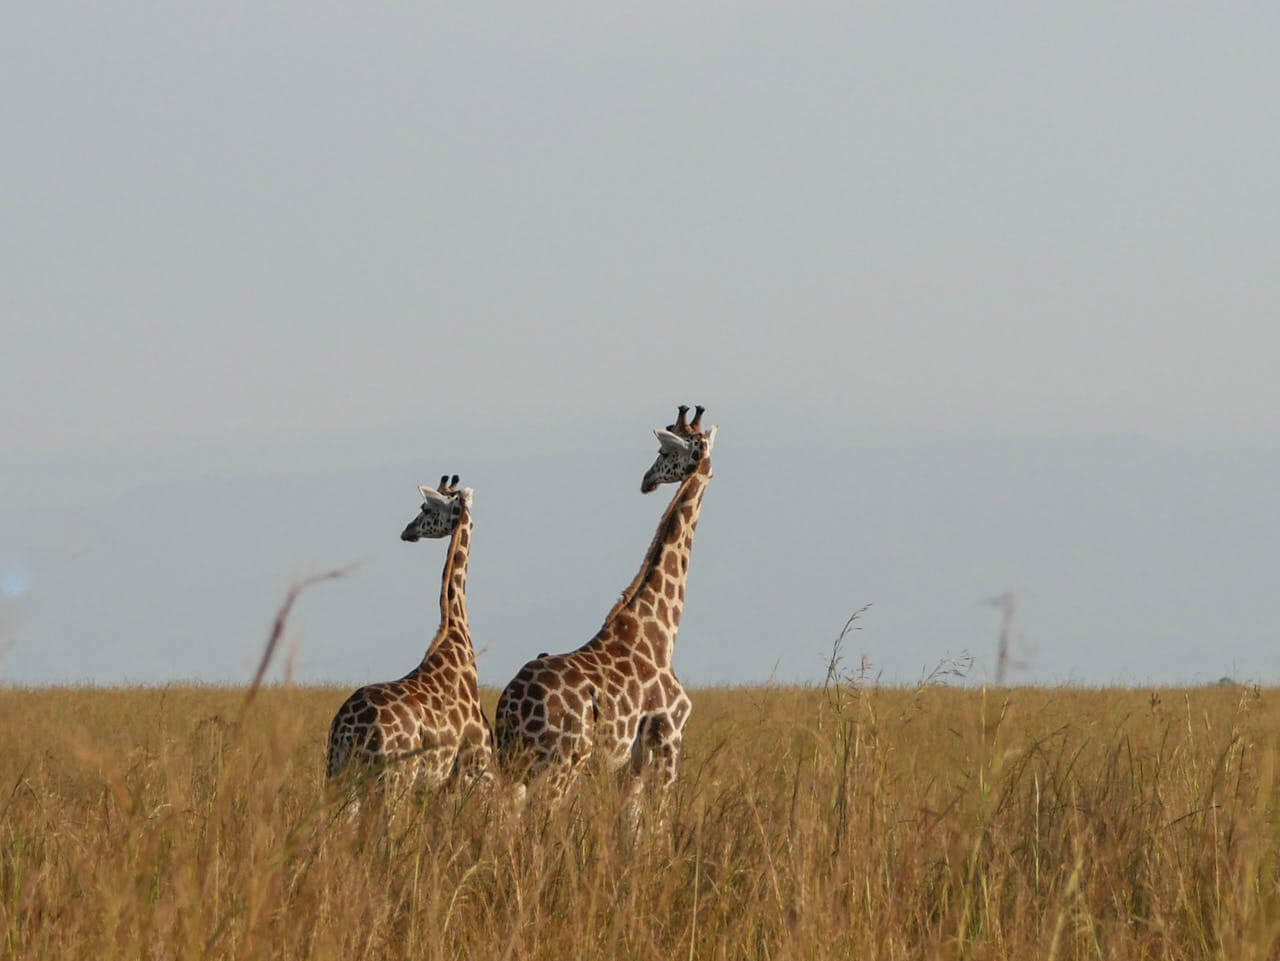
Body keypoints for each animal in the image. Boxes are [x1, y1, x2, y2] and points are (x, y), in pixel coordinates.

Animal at [325, 473, 494, 803]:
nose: (407, 530)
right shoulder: (474, 765)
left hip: (338, 776)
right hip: (394, 779)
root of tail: (347, 728)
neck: (456, 635)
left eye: (425, 509)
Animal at [491, 401, 716, 808]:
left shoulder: (630, 766)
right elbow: (660, 820)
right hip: (564, 761)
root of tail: (511, 705)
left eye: (663, 453)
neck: (661, 631)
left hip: (515, 763)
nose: (646, 480)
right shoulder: (668, 741)